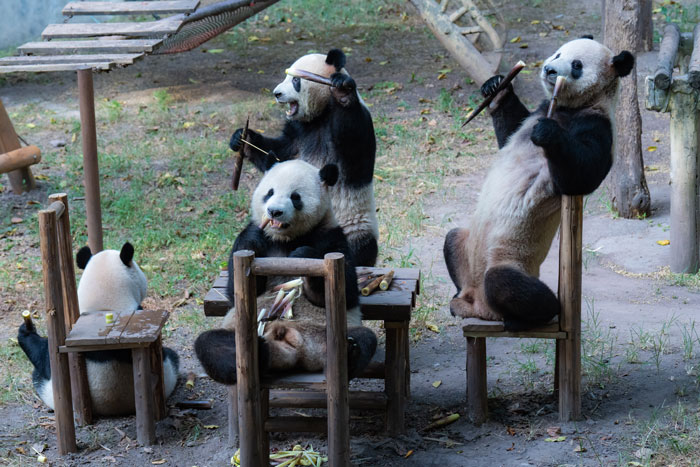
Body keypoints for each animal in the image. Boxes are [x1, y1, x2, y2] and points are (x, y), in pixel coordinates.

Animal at [191, 160, 378, 384]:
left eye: (295, 197)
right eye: (269, 192)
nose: (274, 211)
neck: (286, 239)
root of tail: (295, 346)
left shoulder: (330, 236)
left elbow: (346, 291)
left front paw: (302, 255)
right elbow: (236, 292)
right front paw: (254, 235)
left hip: (332, 331)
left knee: (365, 338)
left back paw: (350, 352)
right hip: (240, 328)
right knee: (210, 344)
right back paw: (257, 353)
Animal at [228, 48, 380, 266]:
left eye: (295, 80)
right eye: (286, 76)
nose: (276, 93)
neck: (319, 114)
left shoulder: (355, 123)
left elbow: (353, 137)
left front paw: (342, 92)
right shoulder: (297, 130)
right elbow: (280, 153)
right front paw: (242, 138)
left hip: (355, 226)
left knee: (357, 249)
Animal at [442, 37, 636, 332]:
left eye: (577, 65)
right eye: (558, 53)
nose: (549, 70)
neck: (569, 107)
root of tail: (482, 309)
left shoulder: (596, 124)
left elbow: (581, 176)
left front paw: (547, 133)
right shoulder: (539, 109)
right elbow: (510, 130)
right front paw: (495, 87)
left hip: (512, 260)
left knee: (506, 284)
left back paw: (533, 316)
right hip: (466, 249)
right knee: (452, 239)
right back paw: (457, 301)